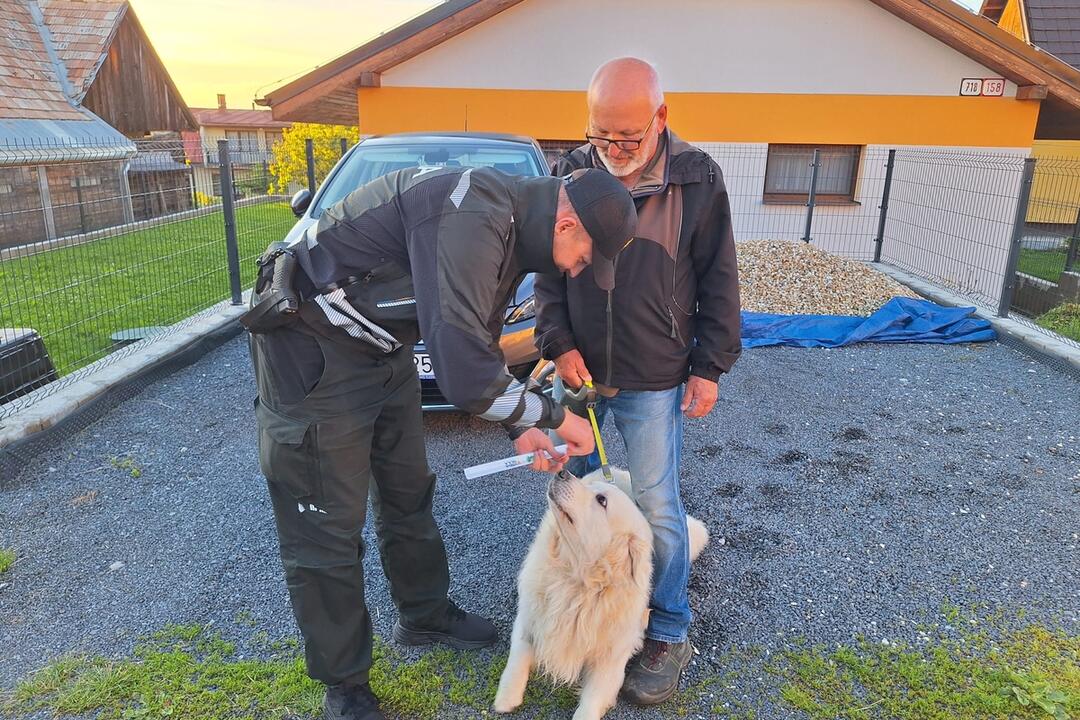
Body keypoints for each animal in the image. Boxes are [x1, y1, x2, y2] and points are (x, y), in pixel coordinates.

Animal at [492, 468, 708, 720]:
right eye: (591, 489)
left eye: (601, 500)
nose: (562, 472)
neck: (578, 581)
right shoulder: (530, 617)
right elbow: (518, 655)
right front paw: (507, 697)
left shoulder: (610, 662)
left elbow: (589, 706)